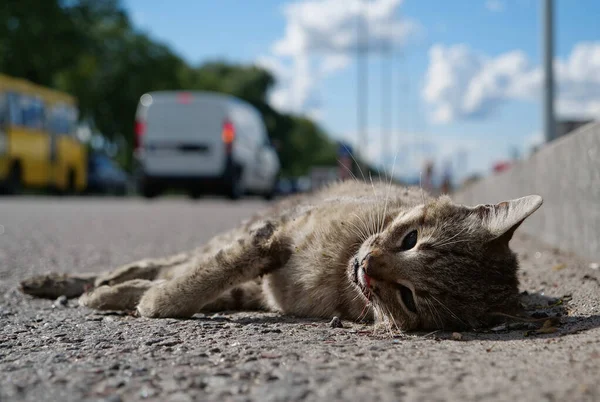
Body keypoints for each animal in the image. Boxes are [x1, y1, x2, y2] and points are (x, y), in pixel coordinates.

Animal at [19, 181, 544, 332]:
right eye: (410, 238)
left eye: (410, 298)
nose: (367, 266)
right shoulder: (271, 237)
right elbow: (208, 271)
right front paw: (155, 300)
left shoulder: (256, 282)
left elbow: (199, 285)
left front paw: (143, 300)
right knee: (167, 262)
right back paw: (72, 282)